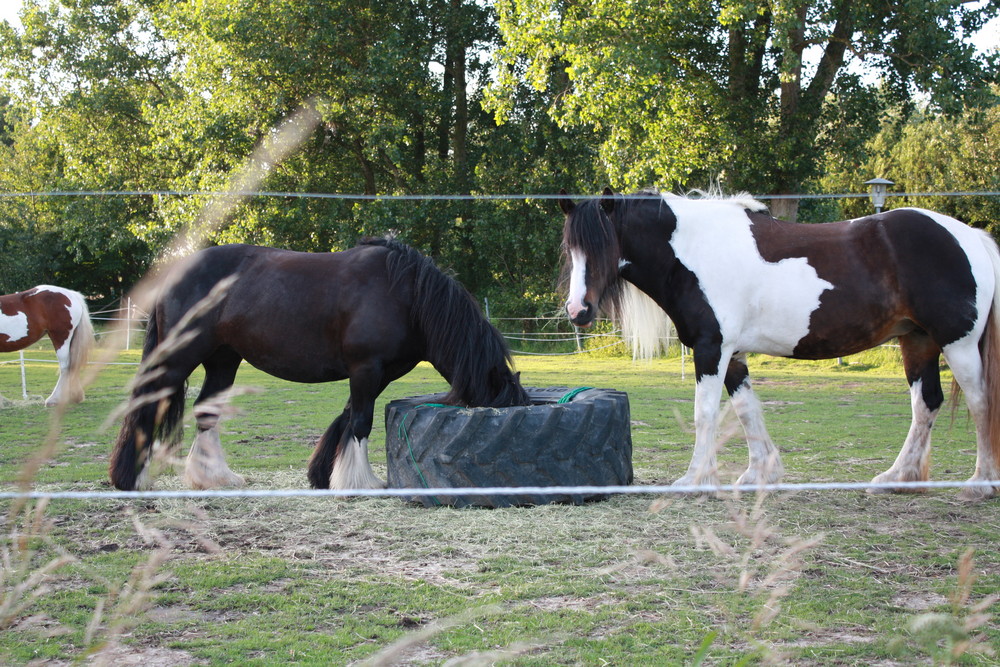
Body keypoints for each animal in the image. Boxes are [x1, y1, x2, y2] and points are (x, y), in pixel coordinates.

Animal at [109, 239, 532, 490]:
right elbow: (360, 422)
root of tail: (174, 273)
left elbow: (347, 417)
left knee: (206, 410)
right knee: (148, 404)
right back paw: (130, 478)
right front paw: (360, 483)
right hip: (180, 357)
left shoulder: (378, 373)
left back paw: (216, 478)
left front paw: (323, 475)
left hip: (223, 360)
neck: (406, 295)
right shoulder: (366, 368)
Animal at [560, 188, 1000, 500]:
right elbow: (746, 411)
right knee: (925, 403)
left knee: (980, 402)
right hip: (918, 341)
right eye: (572, 249)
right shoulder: (732, 355)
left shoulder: (711, 348)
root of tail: (971, 237)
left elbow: (706, 414)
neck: (696, 251)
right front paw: (759, 474)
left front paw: (694, 479)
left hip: (958, 344)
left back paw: (981, 482)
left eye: (604, 246)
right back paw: (897, 478)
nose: (578, 310)